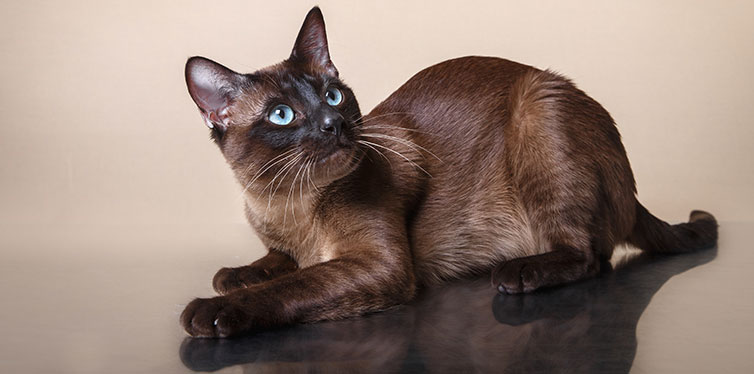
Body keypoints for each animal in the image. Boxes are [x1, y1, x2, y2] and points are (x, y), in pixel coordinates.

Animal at [179, 6, 712, 338]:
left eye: (333, 95)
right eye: (283, 115)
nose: (334, 124)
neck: (288, 202)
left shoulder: (380, 264)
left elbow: (293, 284)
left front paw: (212, 310)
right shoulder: (284, 242)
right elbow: (272, 266)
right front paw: (235, 275)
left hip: (539, 106)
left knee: (590, 257)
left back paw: (519, 273)